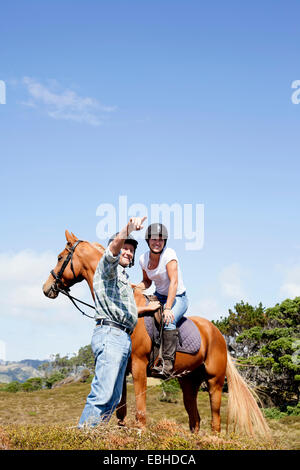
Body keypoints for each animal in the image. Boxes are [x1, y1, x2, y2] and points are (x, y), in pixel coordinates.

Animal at [43, 231, 270, 436]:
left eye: (60, 258)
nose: (46, 288)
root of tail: (217, 333)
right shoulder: (123, 368)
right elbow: (121, 409)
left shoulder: (139, 365)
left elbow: (140, 407)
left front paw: (141, 431)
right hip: (188, 382)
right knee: (194, 418)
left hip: (214, 380)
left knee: (215, 418)